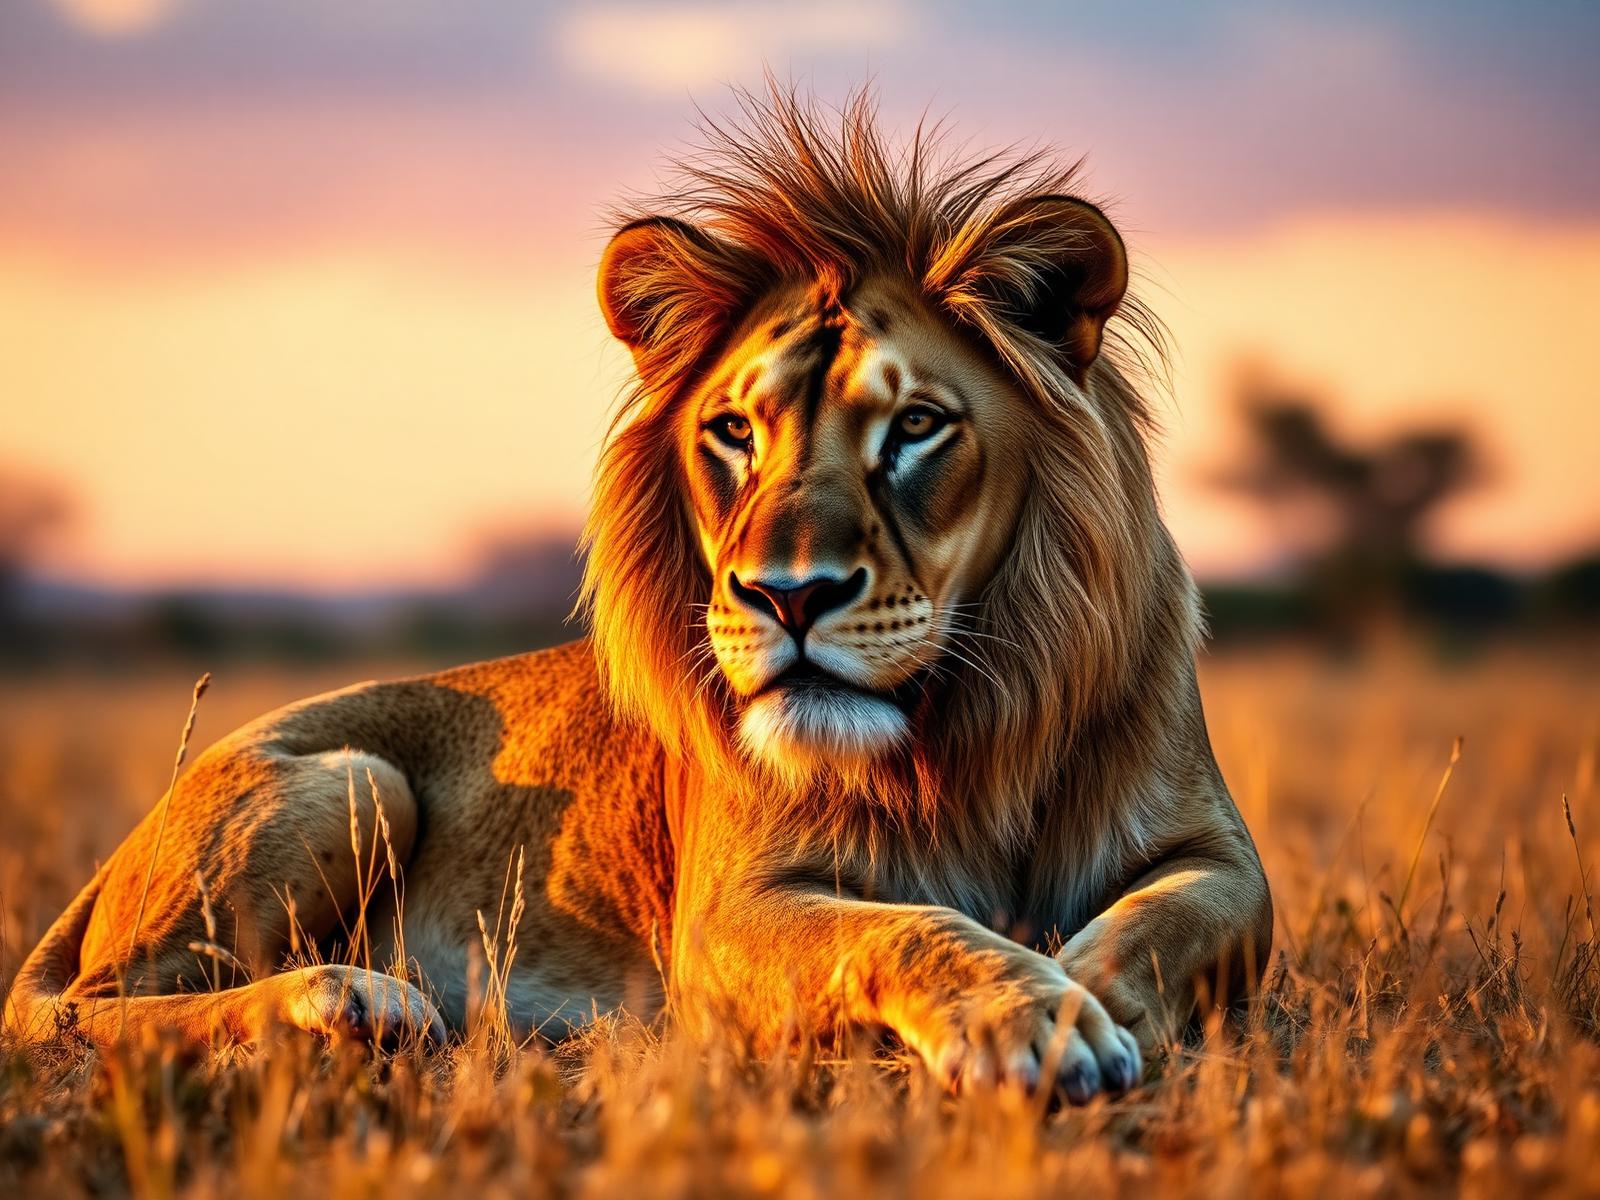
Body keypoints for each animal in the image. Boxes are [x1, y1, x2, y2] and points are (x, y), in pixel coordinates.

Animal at [5, 90, 1271, 1102]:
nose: (789, 597)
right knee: (93, 1010)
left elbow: (1164, 922)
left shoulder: (1223, 859)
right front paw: (1036, 1014)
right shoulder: (729, 916)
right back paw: (350, 1002)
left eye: (916, 425)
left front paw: (1080, 990)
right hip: (350, 780)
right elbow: (910, 931)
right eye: (734, 430)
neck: (958, 728)